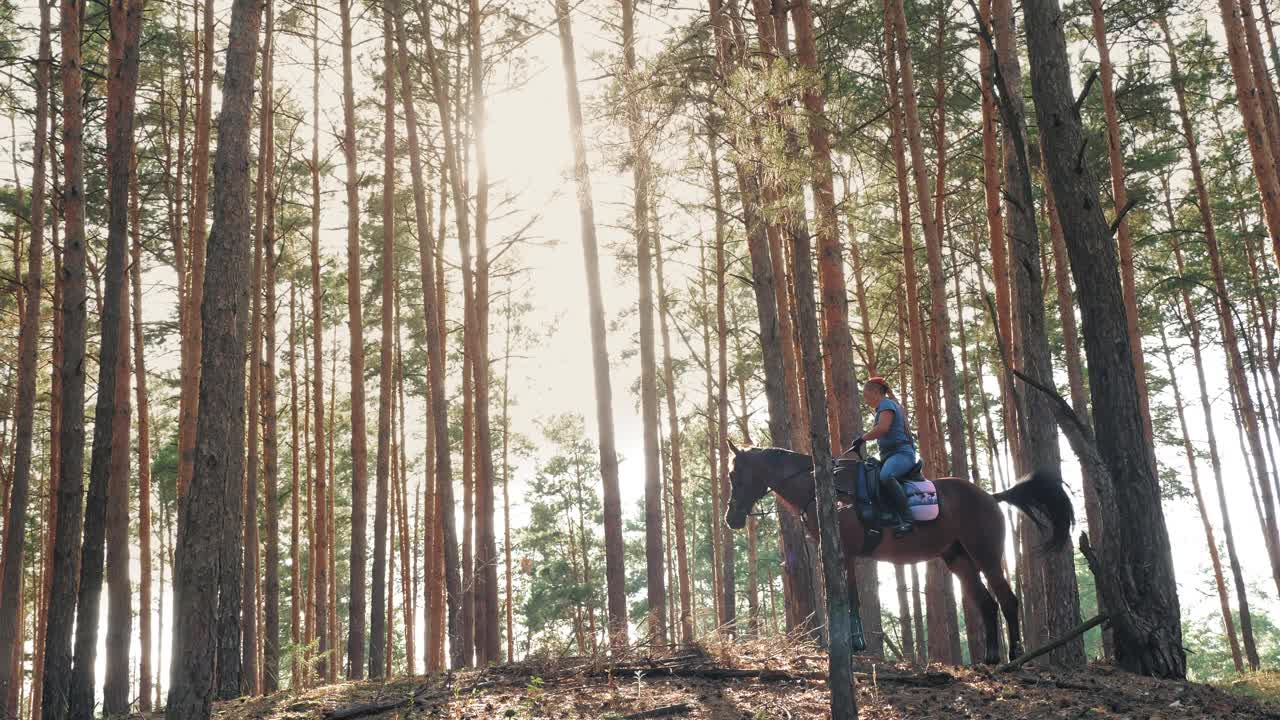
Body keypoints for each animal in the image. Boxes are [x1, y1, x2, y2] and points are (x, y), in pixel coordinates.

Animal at [727, 443, 1075, 661]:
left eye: (734, 475)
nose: (732, 519)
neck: (825, 491)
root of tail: (991, 496)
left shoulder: (845, 554)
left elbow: (851, 598)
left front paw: (855, 643)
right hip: (958, 559)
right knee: (986, 603)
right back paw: (991, 658)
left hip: (985, 555)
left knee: (1007, 600)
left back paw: (1016, 654)